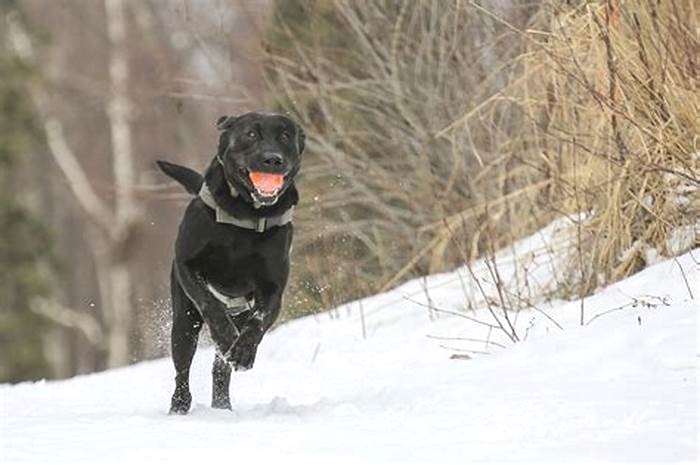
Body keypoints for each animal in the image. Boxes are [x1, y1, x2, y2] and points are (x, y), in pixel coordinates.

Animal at [157, 112, 304, 414]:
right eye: (251, 134)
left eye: (285, 136)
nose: (272, 159)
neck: (246, 214)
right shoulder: (188, 267)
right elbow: (211, 304)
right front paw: (225, 335)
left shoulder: (272, 289)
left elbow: (258, 322)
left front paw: (244, 352)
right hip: (184, 321)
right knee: (182, 369)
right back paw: (179, 407)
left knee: (220, 369)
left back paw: (222, 407)